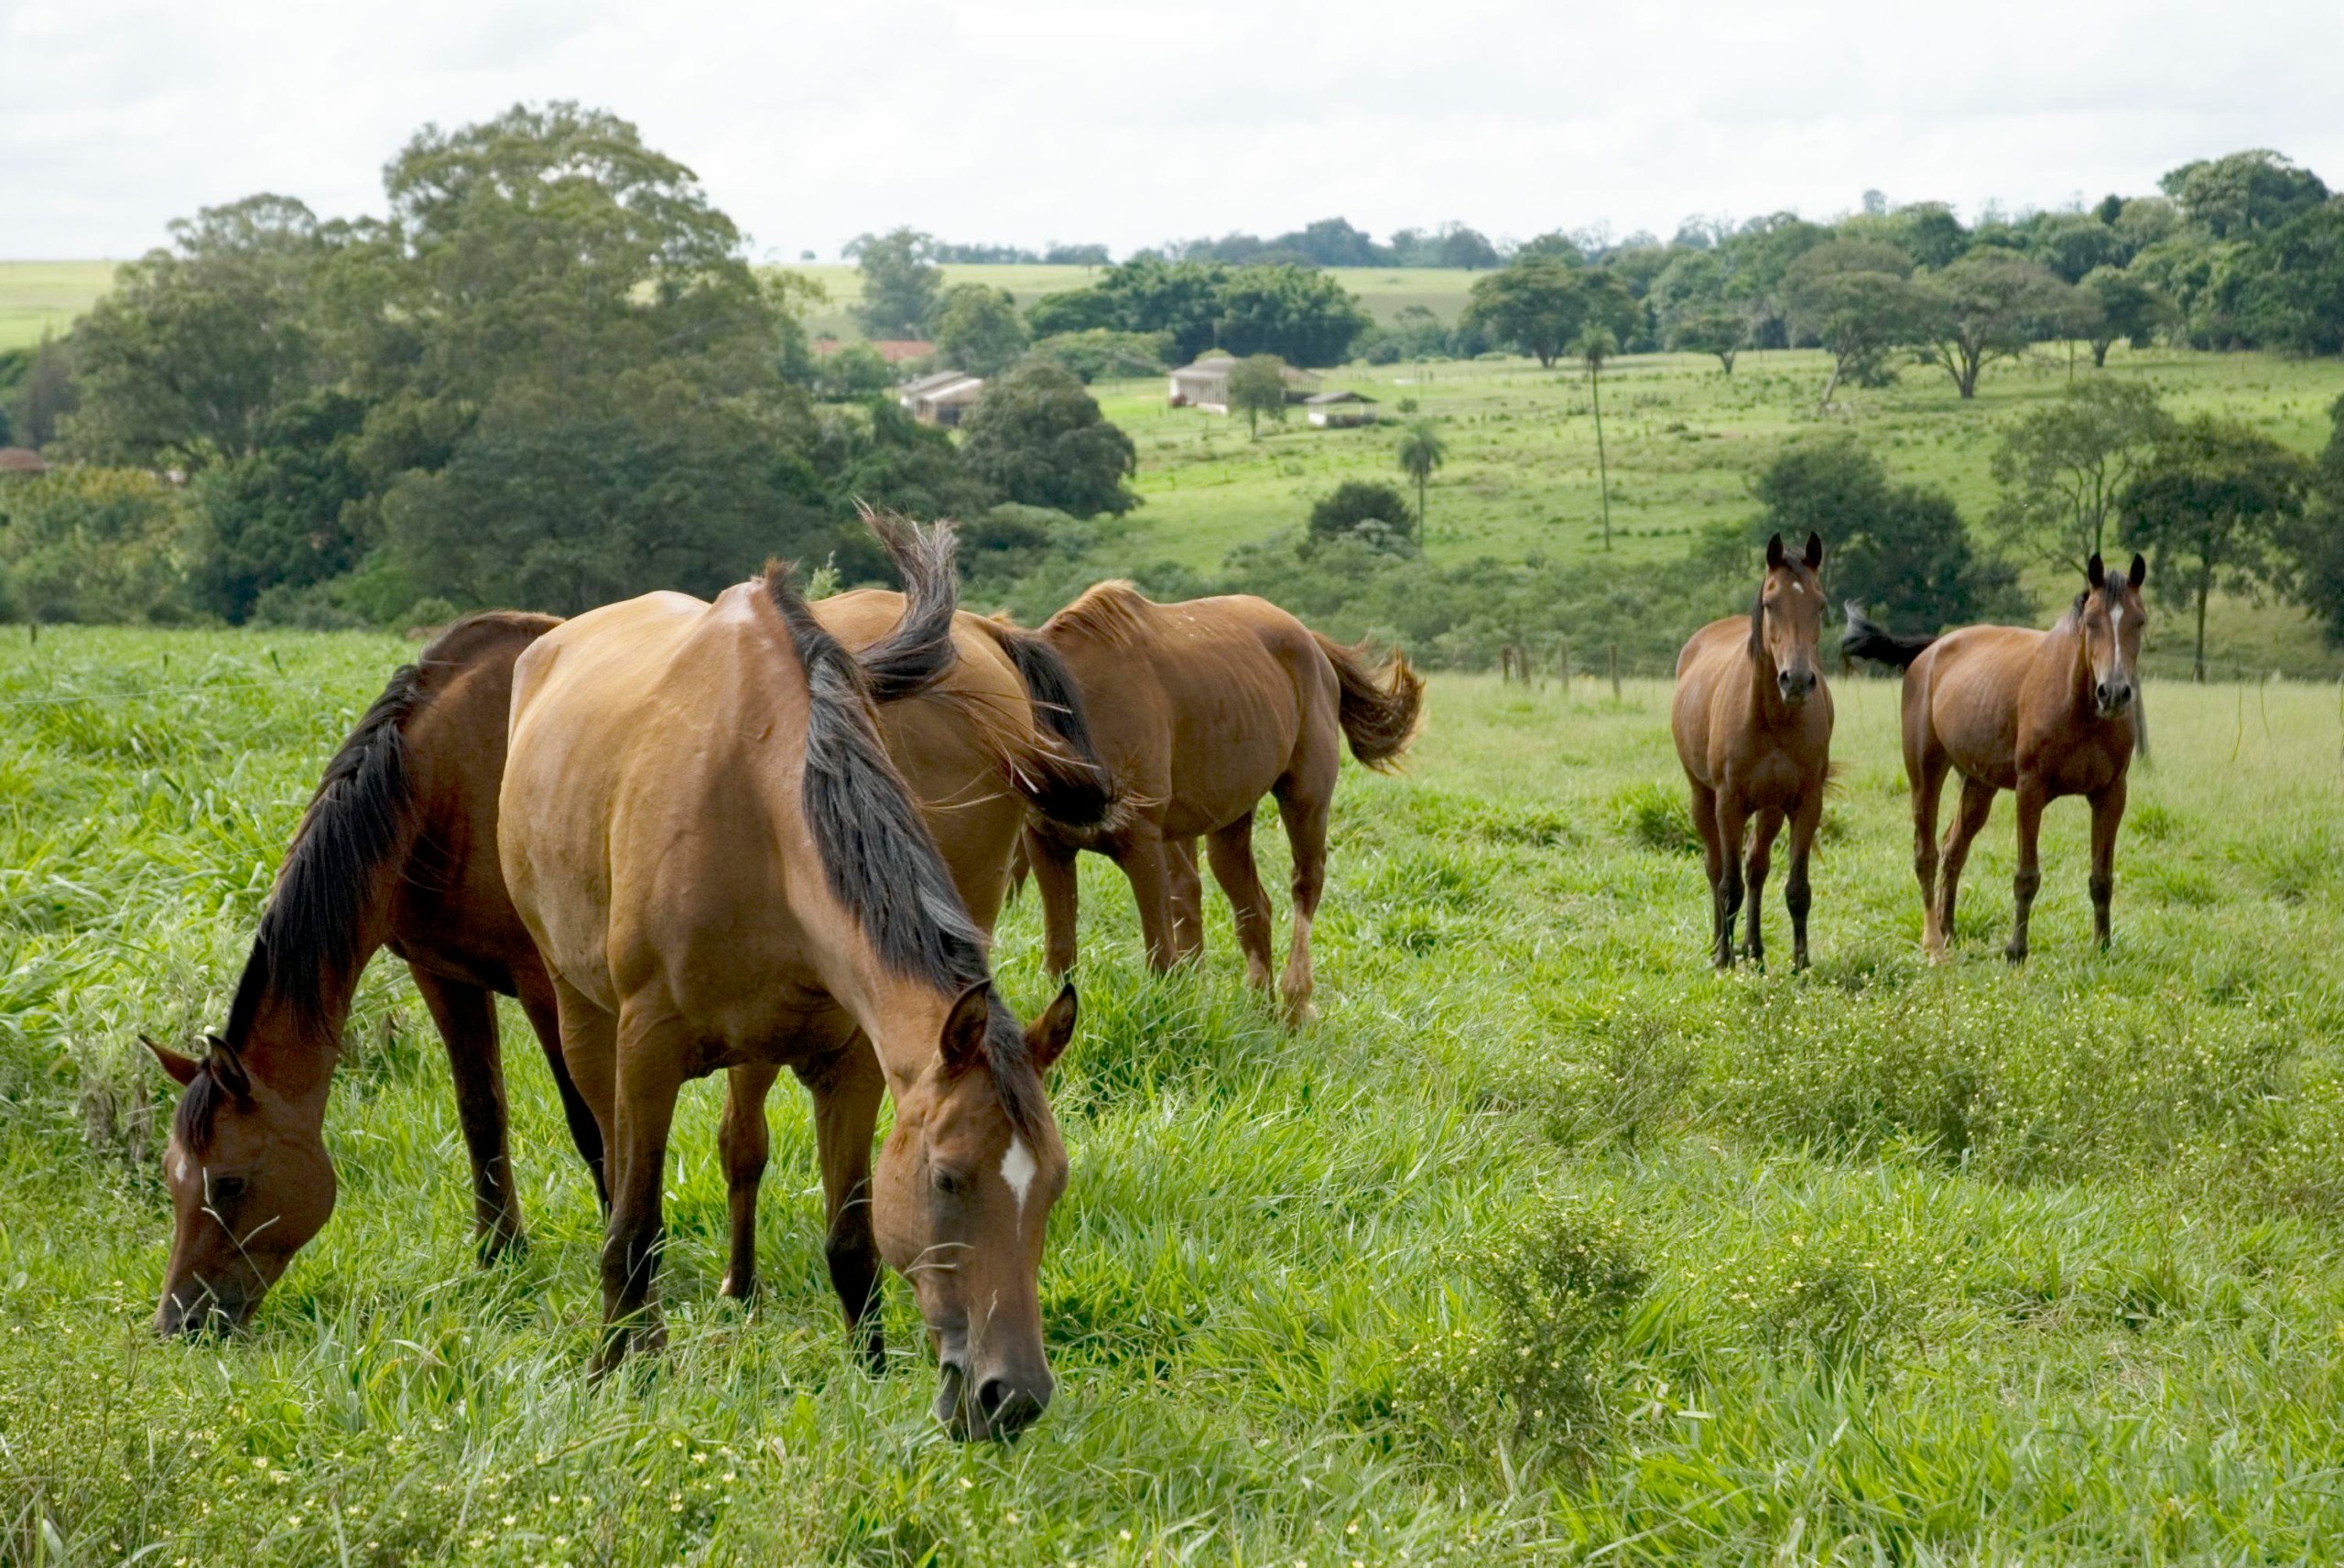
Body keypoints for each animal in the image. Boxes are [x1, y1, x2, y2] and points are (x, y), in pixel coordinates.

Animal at [504, 534, 1078, 1434]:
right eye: (948, 1178)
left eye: (1053, 1184)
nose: (1010, 1397)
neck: (755, 801)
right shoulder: (649, 1044)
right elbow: (634, 1229)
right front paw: (617, 1375)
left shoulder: (853, 1063)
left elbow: (852, 1242)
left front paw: (870, 1373)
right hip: (583, 1015)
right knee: (617, 1170)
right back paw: (646, 1337)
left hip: (755, 1042)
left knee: (740, 1142)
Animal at [1017, 581, 1416, 1022]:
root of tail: (1311, 641)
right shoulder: (1047, 846)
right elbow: (1060, 957)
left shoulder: (1141, 845)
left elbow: (1162, 958)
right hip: (1229, 823)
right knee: (1253, 908)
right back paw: (1260, 1012)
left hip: (1306, 799)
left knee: (1306, 884)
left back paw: (1296, 1001)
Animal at [1677, 524, 1838, 965]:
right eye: (1770, 603)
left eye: (1820, 604)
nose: (1796, 680)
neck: (1774, 719)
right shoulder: (1728, 803)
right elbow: (1727, 886)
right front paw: (1723, 962)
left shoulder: (1806, 802)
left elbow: (1797, 889)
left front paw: (1801, 964)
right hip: (1702, 796)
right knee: (1716, 868)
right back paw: (1721, 945)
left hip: (1769, 807)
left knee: (1756, 867)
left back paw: (1754, 950)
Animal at [1838, 550, 2146, 965]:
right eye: (2092, 621)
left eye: (2139, 620)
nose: (2113, 692)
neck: (2080, 707)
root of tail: (1930, 651)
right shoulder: (2030, 790)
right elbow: (2026, 875)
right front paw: (2016, 950)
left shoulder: (2111, 794)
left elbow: (2102, 877)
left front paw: (2102, 947)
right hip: (1925, 773)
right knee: (1926, 854)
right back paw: (1933, 942)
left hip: (1978, 784)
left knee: (1953, 850)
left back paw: (1948, 929)